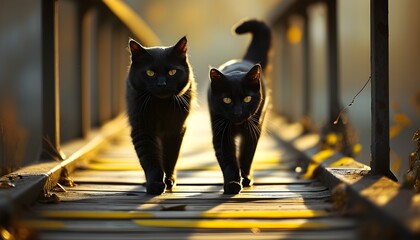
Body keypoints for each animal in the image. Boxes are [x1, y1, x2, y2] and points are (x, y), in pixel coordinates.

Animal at [126, 37, 195, 195]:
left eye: (172, 72)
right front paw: (155, 184)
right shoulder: (142, 129)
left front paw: (169, 180)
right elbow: (150, 158)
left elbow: (170, 155)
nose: (161, 84)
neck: (161, 106)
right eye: (150, 73)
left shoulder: (175, 129)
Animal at [208, 19, 272, 194]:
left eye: (247, 99)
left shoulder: (252, 130)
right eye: (227, 100)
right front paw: (232, 184)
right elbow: (228, 160)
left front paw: (245, 178)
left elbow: (246, 154)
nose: (238, 112)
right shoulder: (220, 132)